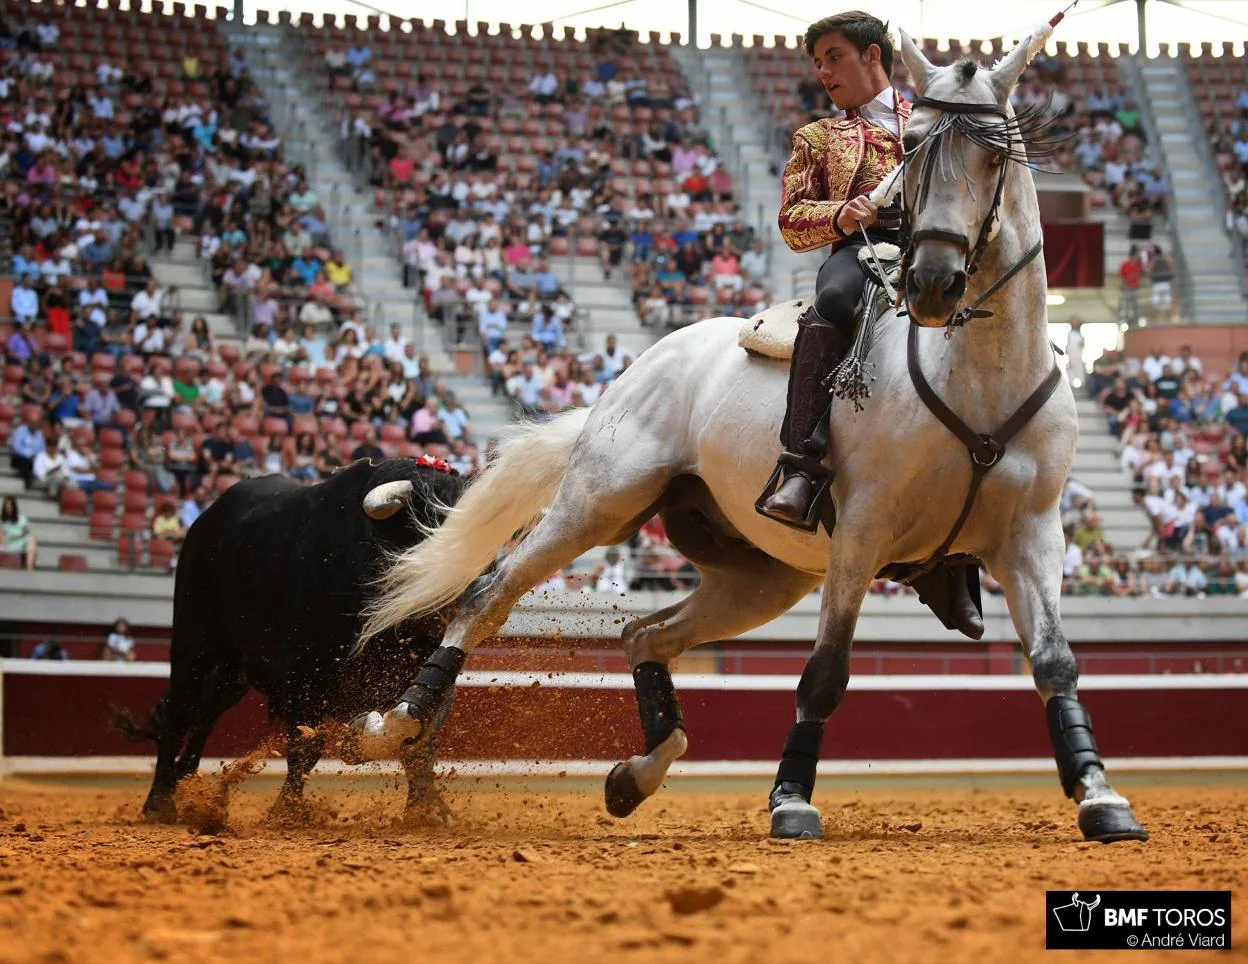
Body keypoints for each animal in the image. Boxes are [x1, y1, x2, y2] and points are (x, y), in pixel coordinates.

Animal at [117, 457, 466, 819]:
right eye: (429, 528)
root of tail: (206, 518)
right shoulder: (304, 675)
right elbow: (306, 745)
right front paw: (288, 810)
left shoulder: (429, 679)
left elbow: (420, 745)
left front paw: (427, 809)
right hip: (194, 641)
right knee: (178, 712)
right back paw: (159, 802)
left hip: (233, 672)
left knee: (204, 717)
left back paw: (187, 789)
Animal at [346, 30, 1143, 844]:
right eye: (914, 150)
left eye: (992, 155)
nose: (932, 283)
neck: (979, 377)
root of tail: (640, 369)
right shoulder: (863, 531)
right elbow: (825, 673)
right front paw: (791, 799)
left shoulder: (1033, 534)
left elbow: (1054, 662)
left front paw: (1099, 795)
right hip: (597, 505)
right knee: (491, 593)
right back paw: (395, 724)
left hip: (761, 576)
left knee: (646, 634)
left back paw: (637, 774)